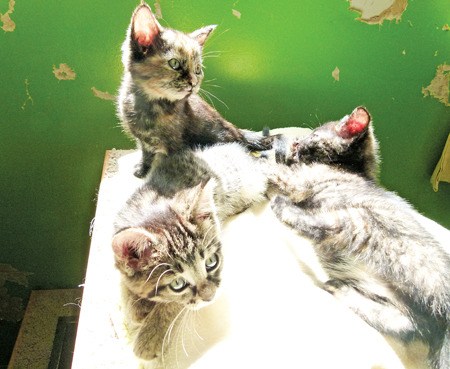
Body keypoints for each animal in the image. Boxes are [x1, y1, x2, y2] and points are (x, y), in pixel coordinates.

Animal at [112, 142, 270, 366]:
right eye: (178, 283)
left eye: (211, 262)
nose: (211, 296)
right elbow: (123, 279)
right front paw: (134, 305)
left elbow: (173, 304)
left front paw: (149, 335)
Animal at [118, 2, 272, 178]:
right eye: (174, 64)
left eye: (197, 69)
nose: (193, 82)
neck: (151, 105)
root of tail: (238, 132)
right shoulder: (143, 140)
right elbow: (146, 152)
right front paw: (143, 169)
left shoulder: (176, 144)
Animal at [268, 106, 448, 368]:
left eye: (314, 135)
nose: (298, 142)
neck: (355, 170)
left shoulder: (299, 180)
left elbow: (273, 167)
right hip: (398, 306)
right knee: (403, 324)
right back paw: (338, 287)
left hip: (358, 221)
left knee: (321, 226)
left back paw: (283, 206)